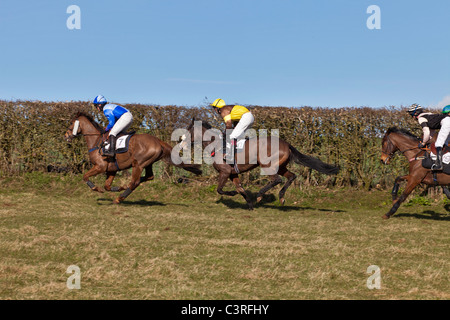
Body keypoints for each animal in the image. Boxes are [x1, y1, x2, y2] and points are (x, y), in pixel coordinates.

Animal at [63, 112, 200, 202]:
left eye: (71, 123)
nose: (66, 136)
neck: (96, 141)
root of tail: (158, 141)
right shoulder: (111, 169)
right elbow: (107, 186)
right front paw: (119, 187)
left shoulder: (100, 167)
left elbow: (85, 176)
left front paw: (96, 188)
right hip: (147, 163)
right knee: (148, 177)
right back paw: (125, 188)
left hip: (138, 164)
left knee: (135, 182)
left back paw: (120, 198)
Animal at [179, 119, 338, 209]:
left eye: (188, 130)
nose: (181, 142)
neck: (216, 145)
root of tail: (286, 144)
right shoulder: (233, 174)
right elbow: (240, 189)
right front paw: (249, 205)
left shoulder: (225, 172)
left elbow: (220, 189)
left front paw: (233, 194)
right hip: (280, 166)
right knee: (291, 176)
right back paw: (281, 197)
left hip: (267, 165)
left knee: (277, 180)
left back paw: (261, 195)